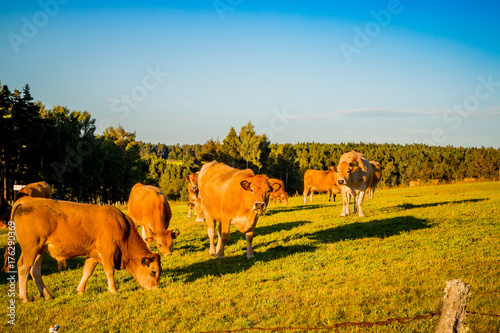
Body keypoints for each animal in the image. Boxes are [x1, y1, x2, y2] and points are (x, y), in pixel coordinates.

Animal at [10, 197, 161, 304]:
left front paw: (80, 290)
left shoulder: (93, 254)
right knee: (23, 268)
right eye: (153, 272)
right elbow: (109, 271)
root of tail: (27, 202)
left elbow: (87, 271)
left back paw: (46, 294)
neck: (123, 228)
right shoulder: (108, 251)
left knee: (34, 270)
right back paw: (24, 297)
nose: (156, 288)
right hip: (31, 248)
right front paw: (113, 290)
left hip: (38, 250)